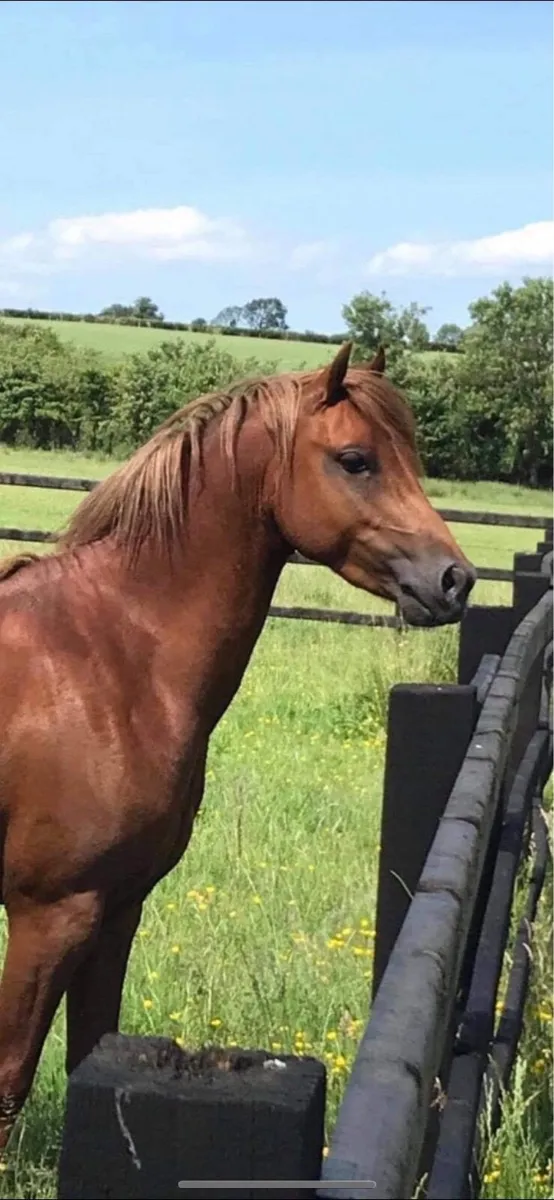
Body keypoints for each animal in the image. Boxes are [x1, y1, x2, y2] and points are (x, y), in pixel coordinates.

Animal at [0, 341, 475, 1149]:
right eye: (355, 459)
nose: (455, 580)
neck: (104, 655)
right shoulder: (48, 917)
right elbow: (9, 1081)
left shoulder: (116, 910)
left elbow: (88, 1048)